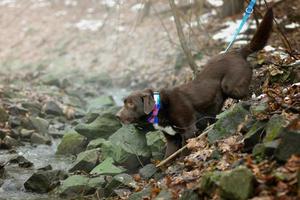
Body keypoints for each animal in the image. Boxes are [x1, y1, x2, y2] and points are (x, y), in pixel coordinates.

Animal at [116, 8, 274, 157]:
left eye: (131, 104)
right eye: (124, 103)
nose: (117, 116)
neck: (159, 107)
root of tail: (237, 52)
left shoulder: (188, 130)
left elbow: (184, 153)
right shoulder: (172, 139)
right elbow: (168, 157)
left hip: (230, 86)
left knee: (248, 92)